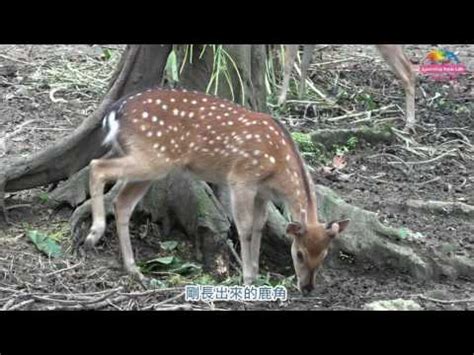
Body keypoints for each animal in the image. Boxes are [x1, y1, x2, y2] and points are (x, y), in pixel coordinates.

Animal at [86, 87, 348, 294]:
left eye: (324, 255)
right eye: (299, 253)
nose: (307, 288)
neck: (278, 167)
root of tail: (114, 112)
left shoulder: (262, 192)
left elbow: (259, 226)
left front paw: (256, 272)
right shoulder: (241, 179)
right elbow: (244, 227)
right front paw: (248, 278)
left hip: (148, 164)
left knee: (122, 203)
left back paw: (133, 268)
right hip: (152, 157)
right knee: (96, 166)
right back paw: (94, 234)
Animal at [278, 45, 414, 130]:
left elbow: (288, 63)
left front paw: (281, 100)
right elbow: (304, 64)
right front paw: (301, 97)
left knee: (407, 72)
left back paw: (409, 124)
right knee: (410, 68)